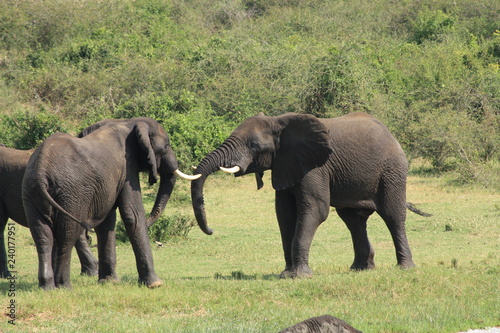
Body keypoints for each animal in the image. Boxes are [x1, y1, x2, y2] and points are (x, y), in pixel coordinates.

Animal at [22, 116, 200, 288]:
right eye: (166, 146)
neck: (129, 122)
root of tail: (41, 172)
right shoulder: (128, 167)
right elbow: (133, 215)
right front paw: (155, 284)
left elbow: (106, 222)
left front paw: (109, 281)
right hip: (71, 193)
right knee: (67, 233)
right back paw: (64, 286)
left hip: (32, 193)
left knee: (43, 235)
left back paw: (47, 287)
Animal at [191, 111, 430, 278]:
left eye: (254, 145)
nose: (211, 230)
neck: (278, 122)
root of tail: (391, 134)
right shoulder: (285, 165)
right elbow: (284, 214)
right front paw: (286, 274)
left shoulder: (314, 167)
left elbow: (315, 210)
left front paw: (298, 276)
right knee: (353, 219)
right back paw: (360, 269)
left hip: (392, 170)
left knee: (392, 215)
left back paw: (405, 268)